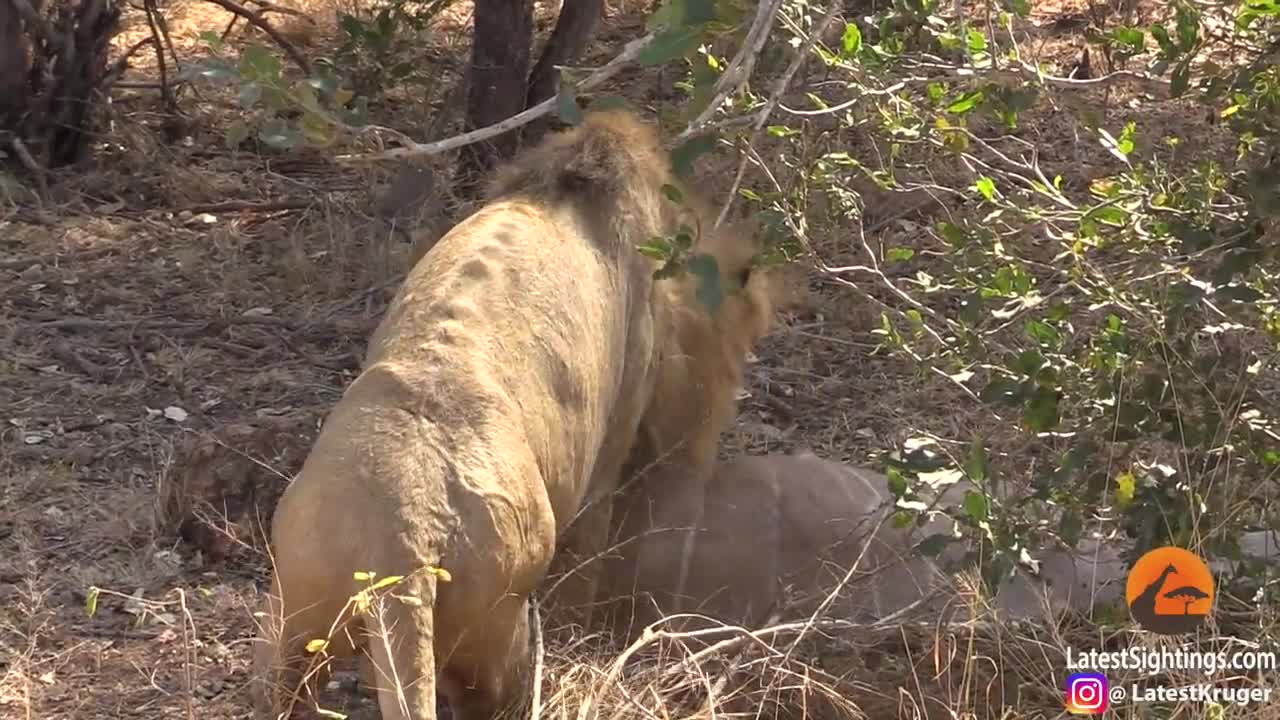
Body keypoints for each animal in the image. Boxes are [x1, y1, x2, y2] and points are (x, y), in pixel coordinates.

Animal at [250, 109, 783, 717]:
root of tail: (400, 548)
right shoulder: (610, 447)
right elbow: (585, 565)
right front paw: (583, 637)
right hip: (499, 619)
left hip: (294, 613)